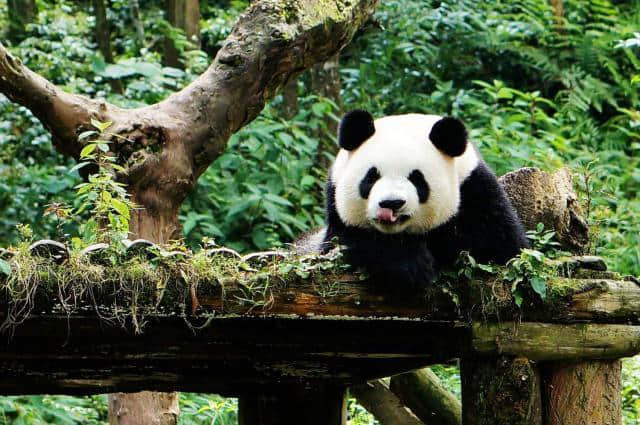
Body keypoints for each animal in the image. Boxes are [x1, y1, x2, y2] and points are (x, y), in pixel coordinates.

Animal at [300, 109, 528, 288]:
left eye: (417, 179)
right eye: (371, 177)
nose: (392, 203)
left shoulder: (476, 194)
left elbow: (503, 251)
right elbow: (345, 242)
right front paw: (413, 265)